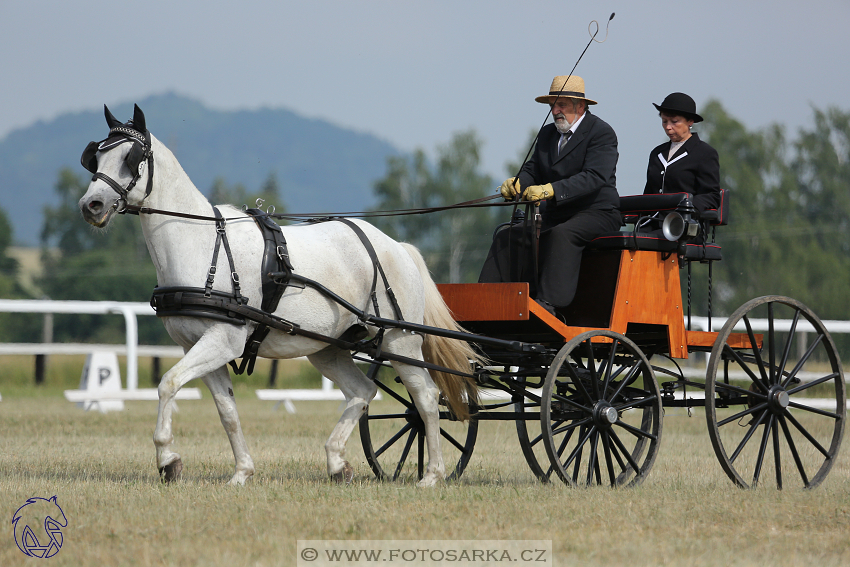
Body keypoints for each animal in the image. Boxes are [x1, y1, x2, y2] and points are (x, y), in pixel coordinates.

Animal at [78, 105, 476, 488]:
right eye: (96, 156)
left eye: (131, 157)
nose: (90, 205)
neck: (202, 244)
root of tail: (397, 247)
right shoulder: (199, 345)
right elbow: (227, 411)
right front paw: (241, 471)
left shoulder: (222, 341)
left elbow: (168, 384)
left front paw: (167, 460)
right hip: (329, 347)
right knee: (362, 391)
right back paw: (337, 462)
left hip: (399, 340)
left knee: (425, 399)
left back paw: (432, 475)